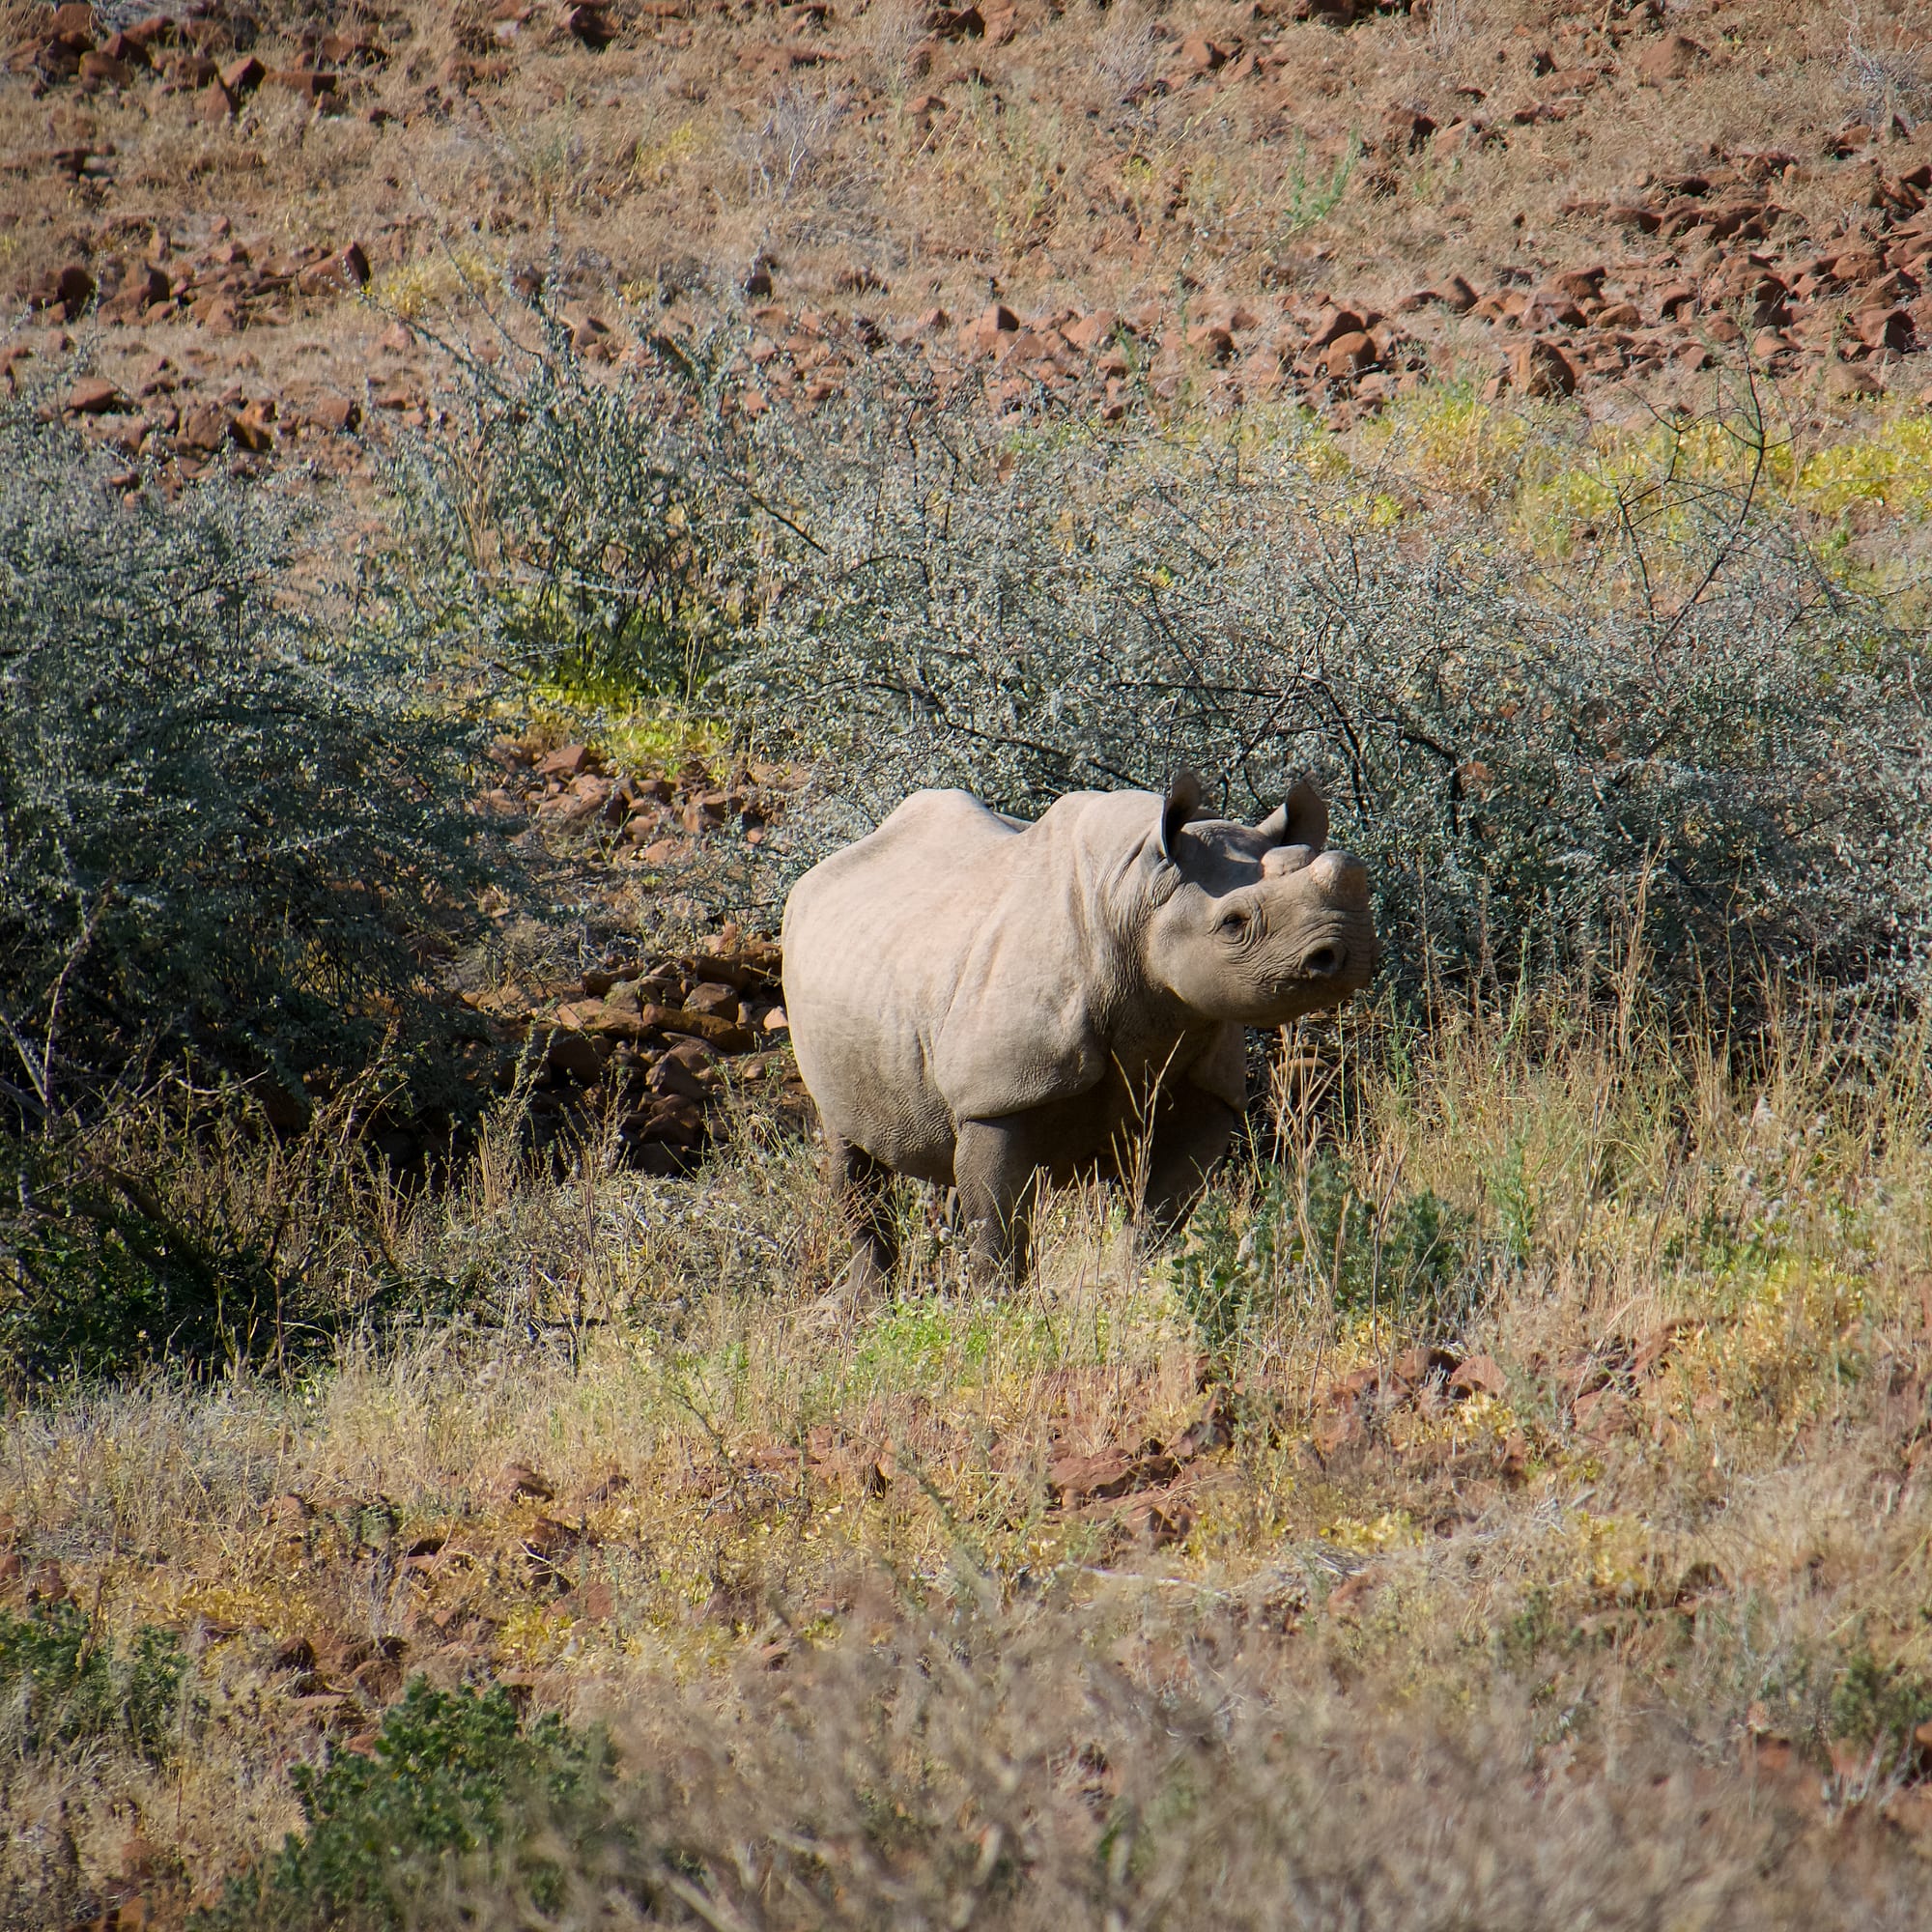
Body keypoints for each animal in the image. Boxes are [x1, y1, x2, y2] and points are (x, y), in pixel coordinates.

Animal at [781, 771, 1378, 1288]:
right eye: (1233, 924)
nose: (1345, 951)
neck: (1136, 892)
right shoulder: (1002, 1091)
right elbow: (999, 1221)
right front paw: (996, 1312)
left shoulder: (1209, 1081)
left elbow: (1163, 1212)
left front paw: (1130, 1287)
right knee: (848, 1151)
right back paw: (868, 1309)